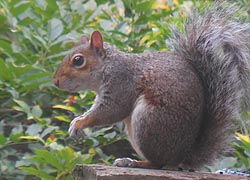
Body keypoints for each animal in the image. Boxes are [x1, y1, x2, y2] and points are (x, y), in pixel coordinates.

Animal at [53, 2, 250, 169]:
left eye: (78, 60)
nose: (55, 82)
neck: (108, 66)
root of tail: (182, 155)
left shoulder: (121, 84)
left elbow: (110, 111)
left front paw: (79, 123)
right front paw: (76, 122)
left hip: (148, 120)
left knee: (158, 163)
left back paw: (133, 162)